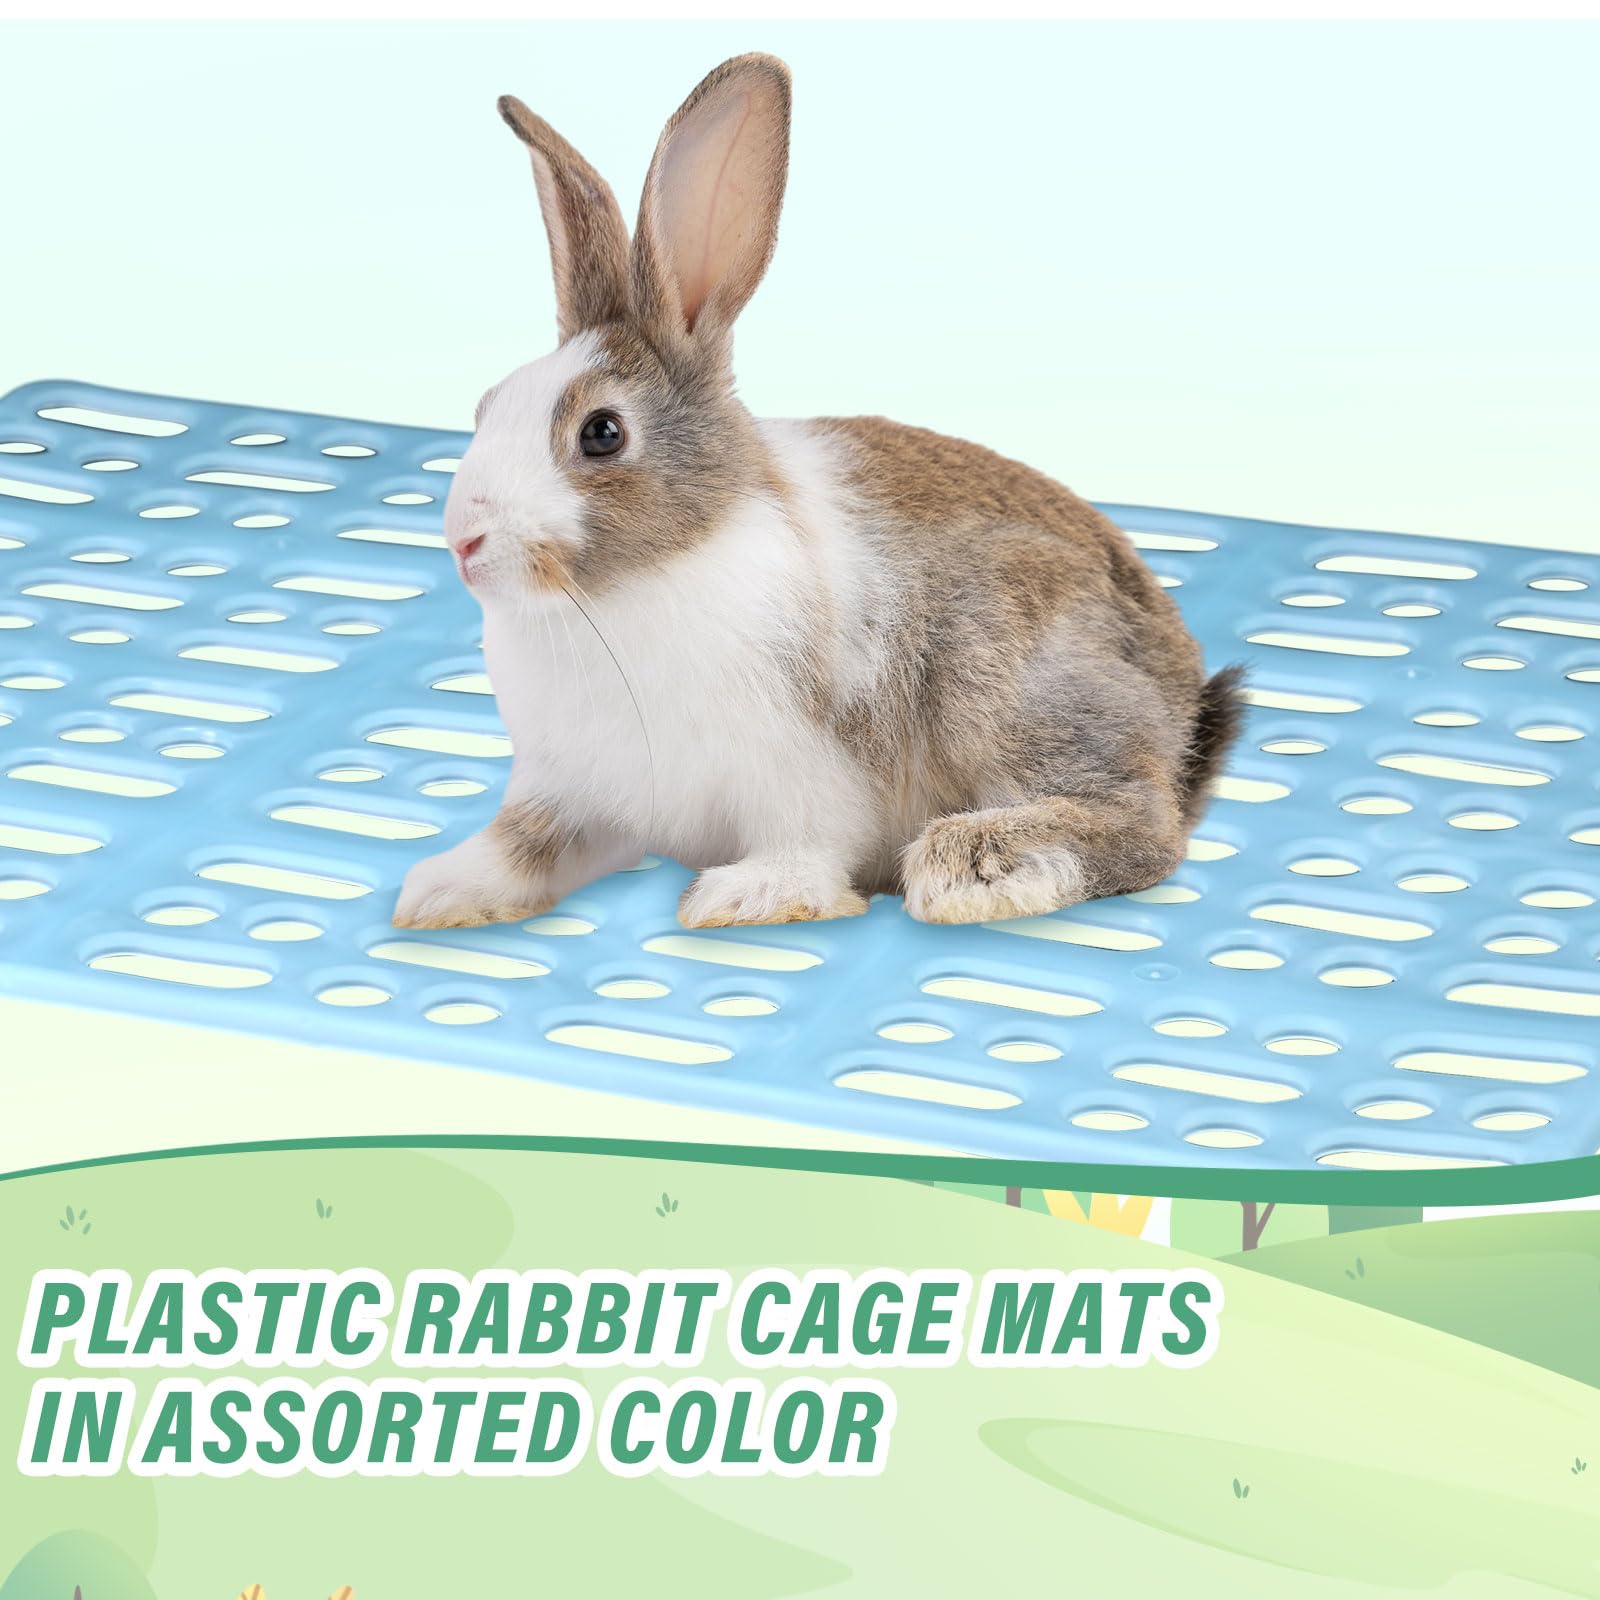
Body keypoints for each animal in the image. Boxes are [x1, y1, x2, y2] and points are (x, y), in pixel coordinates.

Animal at [393, 52, 1244, 933]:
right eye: (488, 404)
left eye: (601, 433)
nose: (463, 542)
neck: (636, 585)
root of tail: (1179, 707)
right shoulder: (569, 790)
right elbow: (525, 843)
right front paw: (439, 892)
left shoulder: (804, 774)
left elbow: (805, 844)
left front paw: (746, 896)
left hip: (1005, 677)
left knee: (1145, 828)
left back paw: (972, 866)